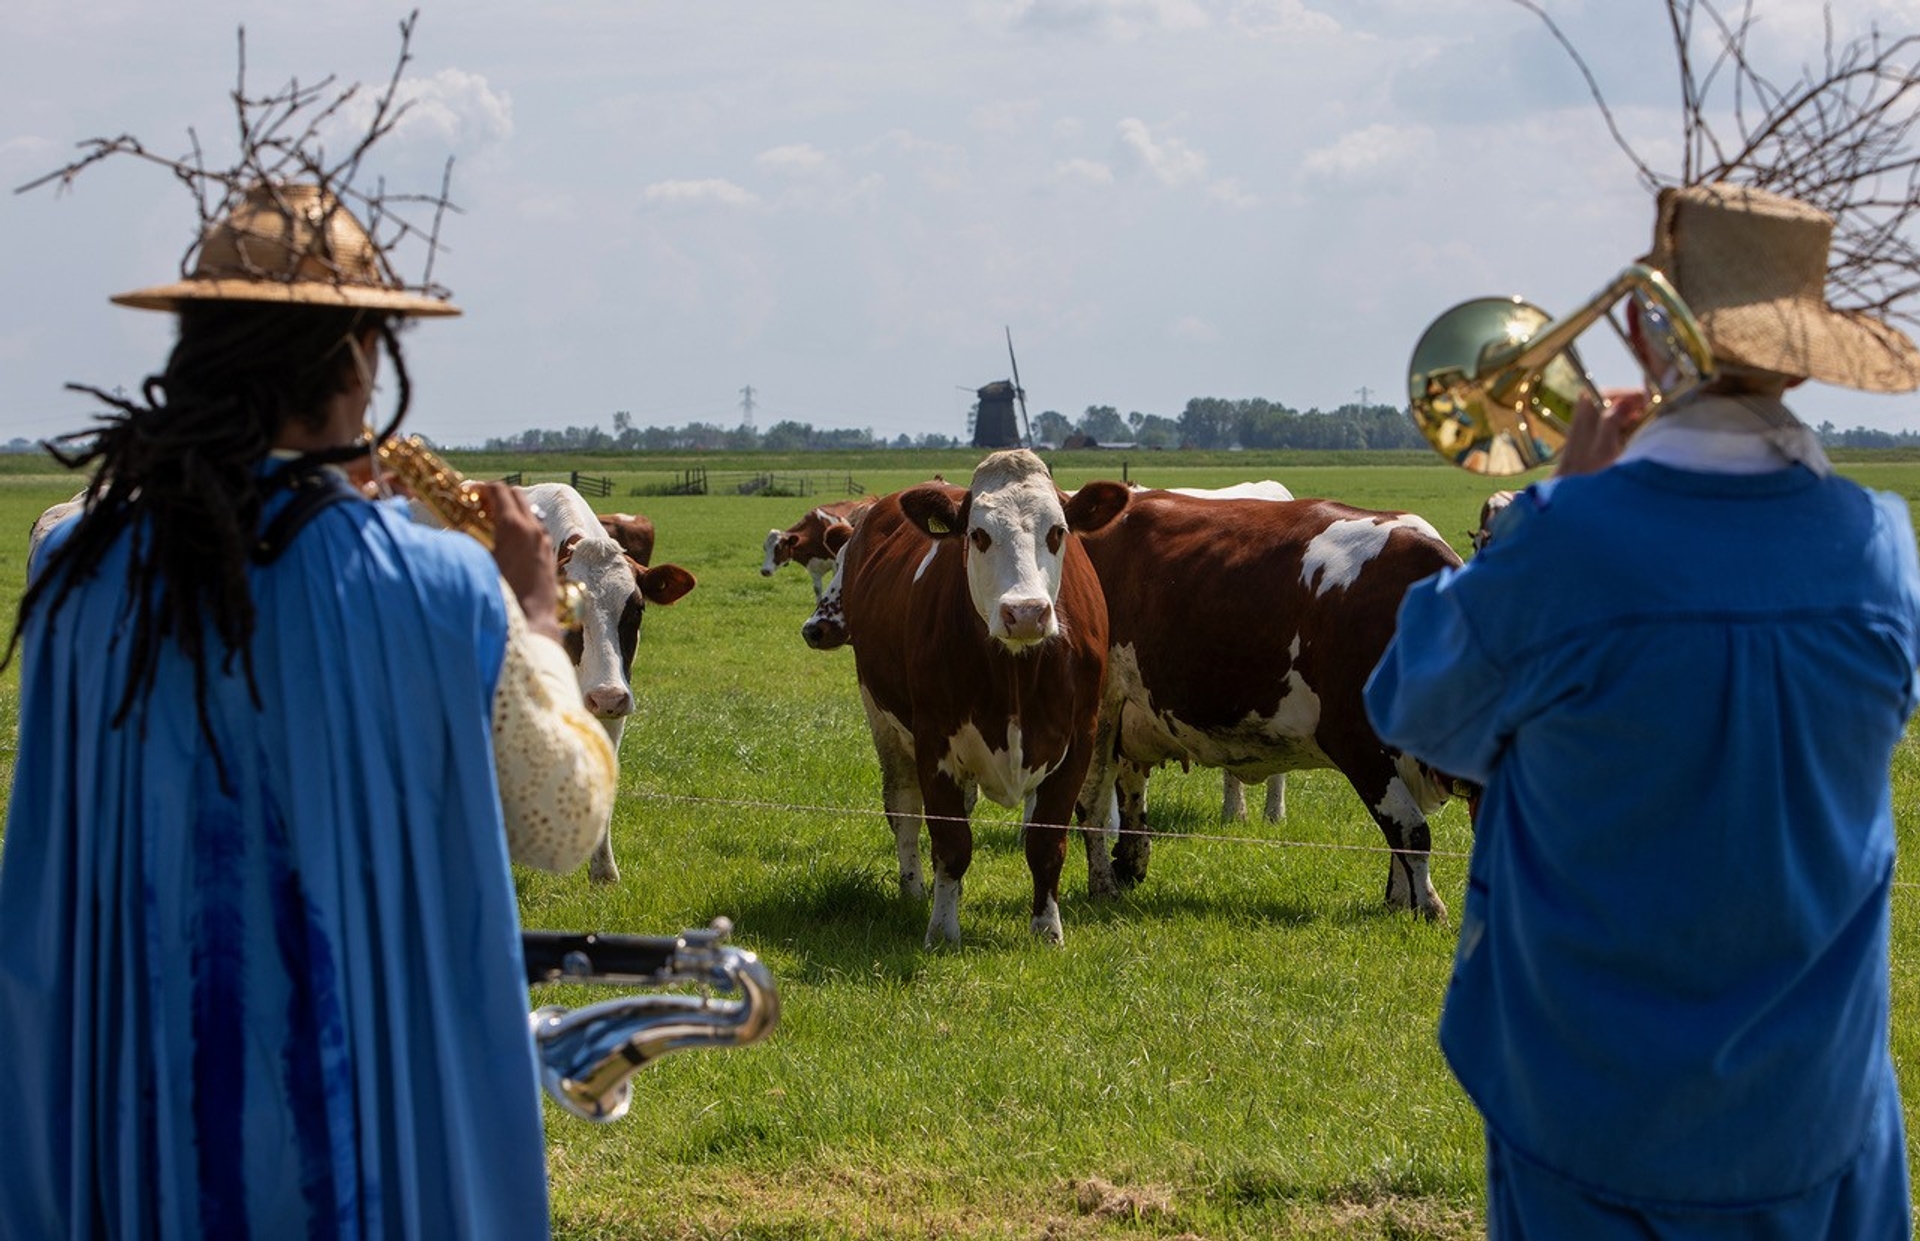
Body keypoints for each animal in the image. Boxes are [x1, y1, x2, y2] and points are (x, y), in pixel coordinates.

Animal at [825, 451, 1121, 949]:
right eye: (979, 534)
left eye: (1057, 532)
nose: (1026, 612)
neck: (1016, 672)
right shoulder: (933, 742)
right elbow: (951, 842)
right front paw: (943, 930)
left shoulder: (1078, 741)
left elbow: (1046, 843)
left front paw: (1047, 929)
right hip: (882, 718)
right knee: (905, 808)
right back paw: (914, 889)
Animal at [1075, 491, 1459, 918]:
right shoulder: (1355, 739)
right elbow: (1410, 830)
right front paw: (1430, 908)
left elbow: (1400, 833)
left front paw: (1399, 901)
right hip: (1099, 711)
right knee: (1093, 803)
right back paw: (1103, 885)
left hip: (1133, 711)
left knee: (1130, 785)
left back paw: (1130, 861)